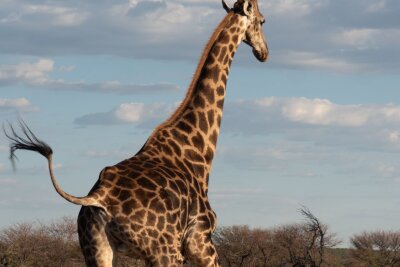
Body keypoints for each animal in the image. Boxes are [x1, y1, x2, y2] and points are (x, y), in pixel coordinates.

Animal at [4, 1, 268, 266]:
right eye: (263, 20)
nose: (264, 52)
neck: (198, 149)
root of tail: (100, 197)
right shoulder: (201, 241)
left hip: (96, 247)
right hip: (163, 250)